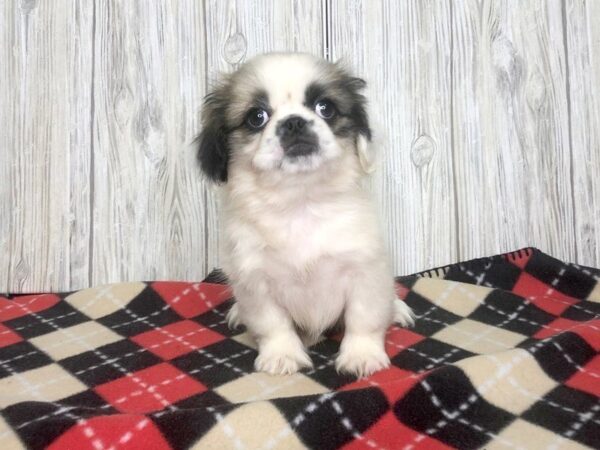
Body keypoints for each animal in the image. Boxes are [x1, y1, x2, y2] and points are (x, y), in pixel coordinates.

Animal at [197, 51, 412, 380]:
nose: (294, 123)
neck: (300, 203)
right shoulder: (255, 282)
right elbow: (273, 324)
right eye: (256, 117)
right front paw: (282, 356)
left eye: (325, 108)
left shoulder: (365, 270)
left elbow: (364, 318)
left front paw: (361, 355)